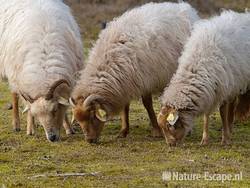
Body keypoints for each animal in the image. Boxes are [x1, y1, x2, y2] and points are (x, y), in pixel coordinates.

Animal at [0, 0, 84, 141]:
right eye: (37, 115)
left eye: (54, 110)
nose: (52, 137)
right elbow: (28, 107)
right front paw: (30, 128)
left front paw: (68, 128)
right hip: (13, 72)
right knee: (14, 95)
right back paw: (16, 125)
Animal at [70, 1, 199, 143]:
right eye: (78, 120)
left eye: (93, 116)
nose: (90, 140)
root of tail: (184, 7)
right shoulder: (125, 83)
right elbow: (125, 108)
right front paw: (123, 131)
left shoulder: (145, 80)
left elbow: (147, 105)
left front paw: (156, 131)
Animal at [157, 9, 250, 145]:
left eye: (170, 126)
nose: (170, 145)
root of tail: (244, 14)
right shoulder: (209, 91)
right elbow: (206, 115)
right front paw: (205, 139)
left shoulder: (222, 88)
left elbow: (223, 112)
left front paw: (225, 139)